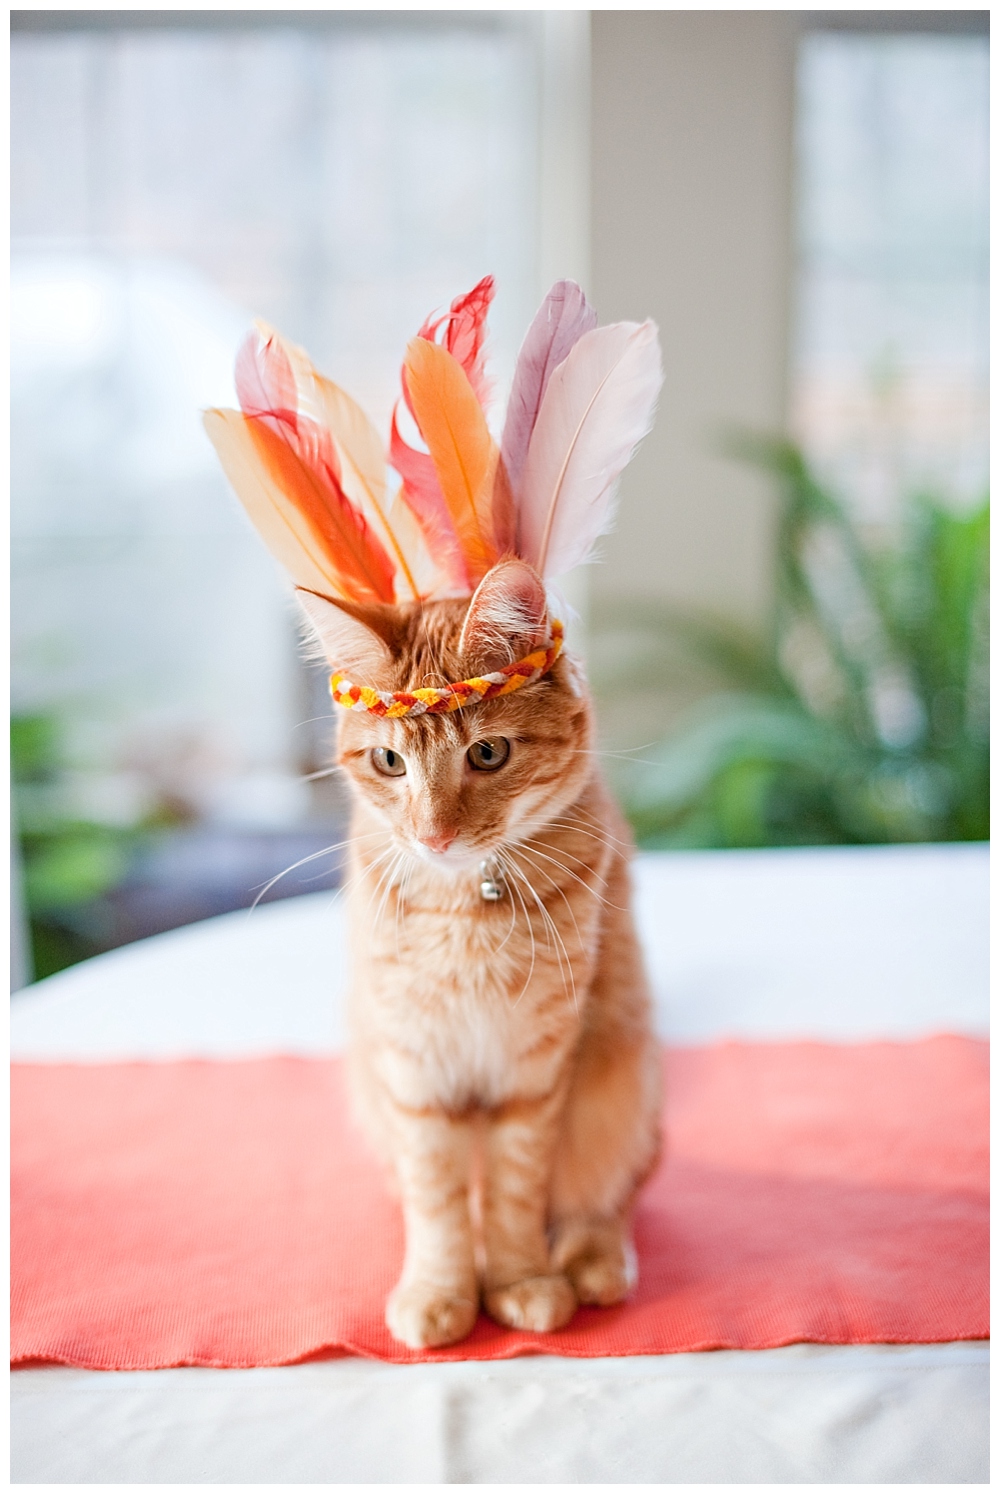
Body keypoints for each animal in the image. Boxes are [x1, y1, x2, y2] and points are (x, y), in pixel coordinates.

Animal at [300, 561, 657, 1356]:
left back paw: (594, 1260)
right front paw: (441, 1290)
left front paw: (520, 1280)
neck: (463, 908)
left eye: (487, 753)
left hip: (623, 1083)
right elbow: (436, 1198)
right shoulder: (413, 1071)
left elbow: (517, 1190)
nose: (434, 836)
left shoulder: (536, 1070)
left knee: (609, 1189)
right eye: (389, 761)